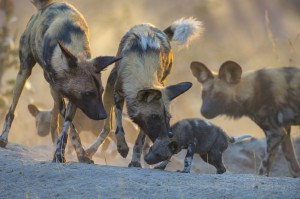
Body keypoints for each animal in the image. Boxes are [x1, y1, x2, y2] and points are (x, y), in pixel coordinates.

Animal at [0, 0, 119, 163]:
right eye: (89, 93)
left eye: (101, 91)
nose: (103, 116)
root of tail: (48, 4)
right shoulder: (60, 92)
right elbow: (72, 129)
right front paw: (60, 155)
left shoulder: (73, 98)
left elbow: (67, 129)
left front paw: (78, 154)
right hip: (24, 72)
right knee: (11, 110)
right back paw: (4, 138)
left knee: (54, 120)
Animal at [86, 17, 204, 166]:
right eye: (154, 117)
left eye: (168, 117)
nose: (169, 135)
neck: (143, 65)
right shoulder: (118, 96)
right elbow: (118, 127)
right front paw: (122, 147)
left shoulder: (144, 121)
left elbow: (139, 140)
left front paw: (136, 160)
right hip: (108, 92)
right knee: (107, 127)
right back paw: (91, 150)